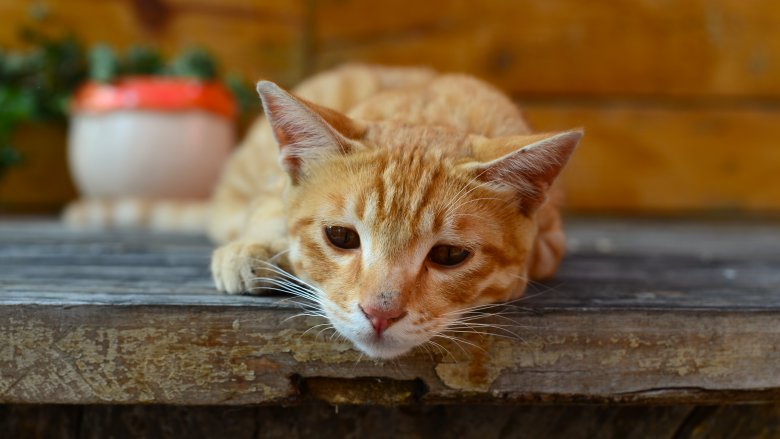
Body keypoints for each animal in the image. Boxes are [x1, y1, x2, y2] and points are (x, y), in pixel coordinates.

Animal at [207, 65, 580, 360]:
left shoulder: (550, 241)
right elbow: (270, 207)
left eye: (449, 254)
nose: (379, 314)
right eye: (340, 237)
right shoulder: (274, 186)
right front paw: (254, 247)